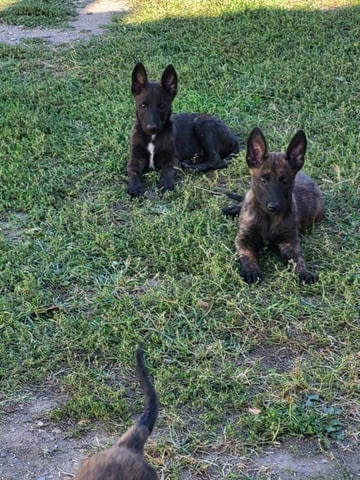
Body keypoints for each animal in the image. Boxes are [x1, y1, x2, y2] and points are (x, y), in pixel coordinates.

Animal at [126, 63, 239, 197]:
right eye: (143, 105)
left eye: (161, 106)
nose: (151, 128)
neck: (152, 138)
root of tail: (234, 138)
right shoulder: (135, 159)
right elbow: (132, 172)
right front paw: (134, 186)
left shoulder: (171, 159)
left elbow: (167, 171)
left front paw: (166, 184)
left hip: (203, 125)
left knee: (218, 161)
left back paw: (192, 167)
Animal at [233, 128, 324, 284]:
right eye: (263, 179)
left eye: (285, 181)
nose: (273, 206)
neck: (269, 218)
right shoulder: (243, 238)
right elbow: (247, 255)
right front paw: (251, 270)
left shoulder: (289, 242)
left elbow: (297, 260)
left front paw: (303, 272)